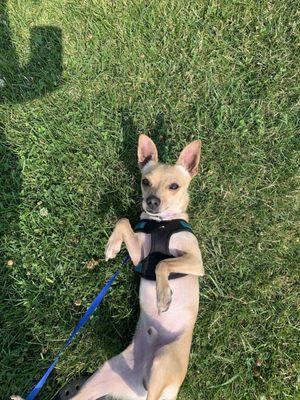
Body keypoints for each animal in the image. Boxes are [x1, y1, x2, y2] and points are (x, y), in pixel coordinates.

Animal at [11, 135, 204, 400]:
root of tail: (138, 387)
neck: (161, 224)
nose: (151, 202)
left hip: (162, 364)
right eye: (145, 181)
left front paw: (163, 295)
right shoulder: (140, 257)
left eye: (174, 186)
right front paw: (112, 246)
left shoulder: (196, 261)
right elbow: (123, 222)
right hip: (103, 376)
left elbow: (163, 263)